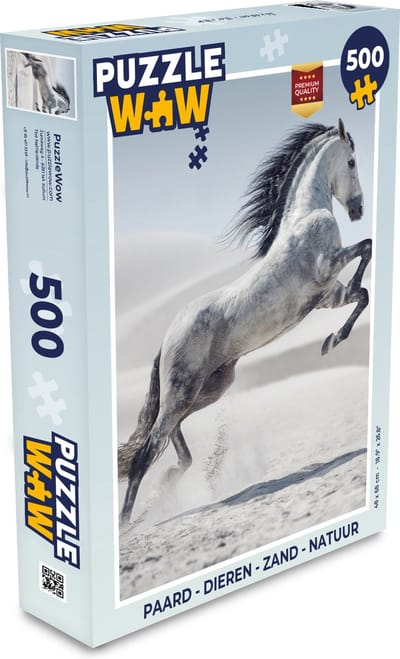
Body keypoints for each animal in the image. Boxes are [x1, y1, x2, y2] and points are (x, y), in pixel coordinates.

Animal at [118, 118, 371, 526]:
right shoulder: (326, 268)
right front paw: (332, 340)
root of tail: (165, 339)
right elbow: (367, 247)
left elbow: (361, 293)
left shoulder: (327, 296)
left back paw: (172, 480)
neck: (305, 215)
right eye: (351, 161)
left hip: (209, 389)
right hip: (183, 391)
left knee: (170, 439)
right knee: (146, 452)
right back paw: (128, 523)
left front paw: (331, 341)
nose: (359, 208)